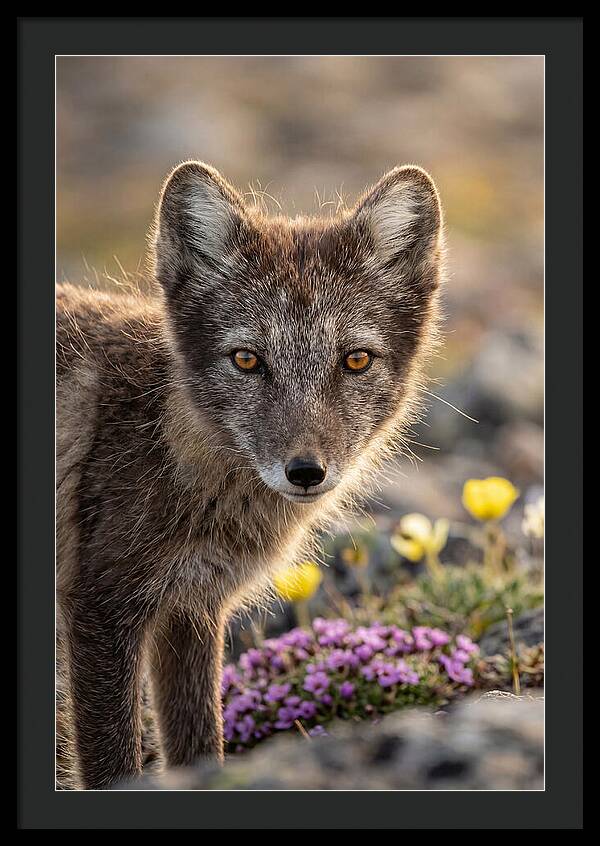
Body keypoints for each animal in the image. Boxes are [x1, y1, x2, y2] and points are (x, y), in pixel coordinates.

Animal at [56, 161, 445, 789]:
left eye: (355, 360)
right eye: (246, 360)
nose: (306, 472)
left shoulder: (191, 610)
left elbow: (199, 748)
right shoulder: (99, 607)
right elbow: (114, 765)